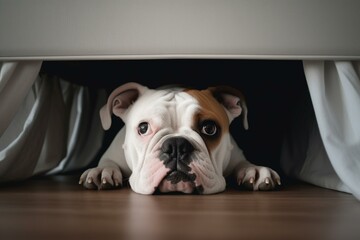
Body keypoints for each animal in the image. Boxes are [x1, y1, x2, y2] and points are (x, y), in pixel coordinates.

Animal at [79, 82, 282, 195]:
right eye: (143, 128)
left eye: (209, 128)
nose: (176, 145)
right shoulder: (113, 155)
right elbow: (108, 163)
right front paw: (102, 171)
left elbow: (243, 163)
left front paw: (253, 170)